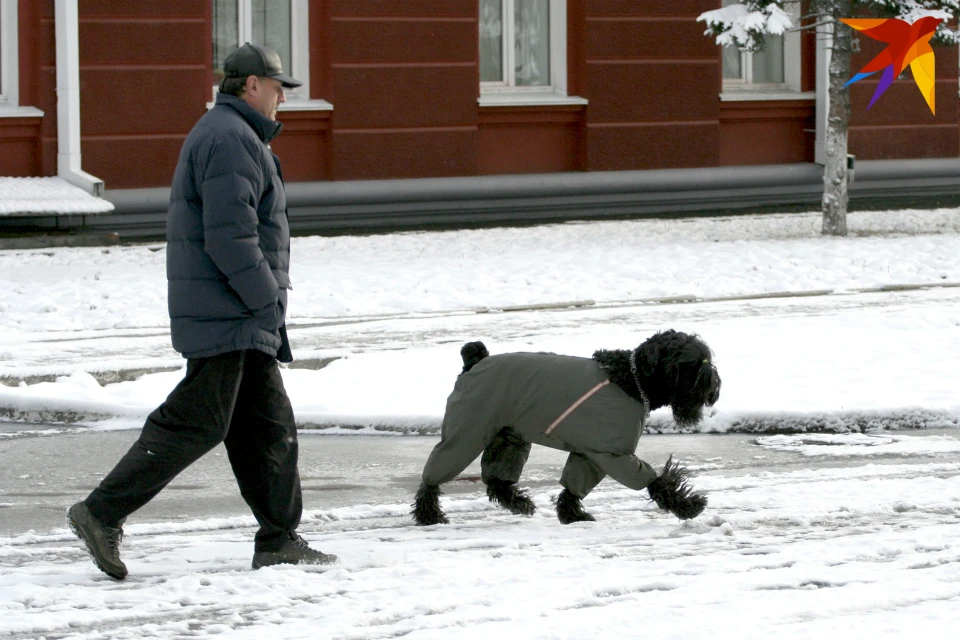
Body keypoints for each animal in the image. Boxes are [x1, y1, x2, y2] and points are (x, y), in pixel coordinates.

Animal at [412, 330, 720, 524]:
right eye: (690, 362)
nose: (714, 385)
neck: (632, 381)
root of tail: (474, 362)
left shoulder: (592, 453)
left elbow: (574, 485)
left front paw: (573, 516)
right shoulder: (614, 454)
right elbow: (655, 480)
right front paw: (688, 506)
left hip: (508, 436)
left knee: (498, 479)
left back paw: (520, 504)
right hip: (468, 431)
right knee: (434, 475)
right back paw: (429, 515)